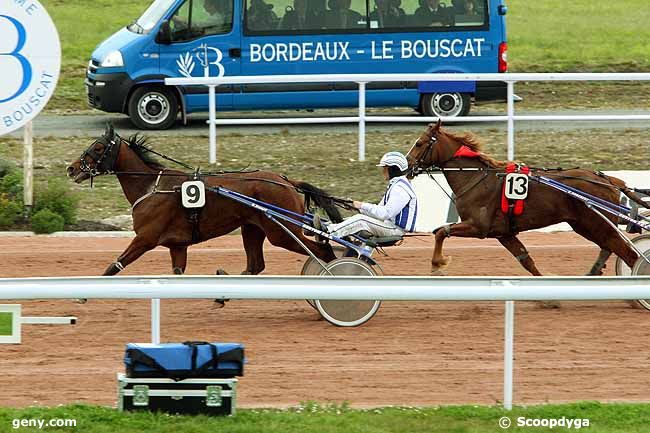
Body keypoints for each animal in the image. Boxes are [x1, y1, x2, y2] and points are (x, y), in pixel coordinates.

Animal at [66, 124, 340, 274]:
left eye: (98, 147)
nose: (71, 169)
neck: (150, 186)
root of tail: (287, 182)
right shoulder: (177, 245)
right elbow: (177, 271)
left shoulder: (145, 239)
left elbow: (114, 266)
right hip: (252, 228)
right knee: (255, 266)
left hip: (281, 232)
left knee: (324, 251)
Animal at [404, 120, 644, 276]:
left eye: (419, 143)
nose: (405, 166)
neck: (476, 177)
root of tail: (610, 179)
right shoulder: (503, 233)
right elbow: (526, 261)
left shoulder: (478, 227)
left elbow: (440, 232)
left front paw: (437, 264)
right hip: (586, 225)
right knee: (612, 249)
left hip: (597, 224)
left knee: (630, 256)